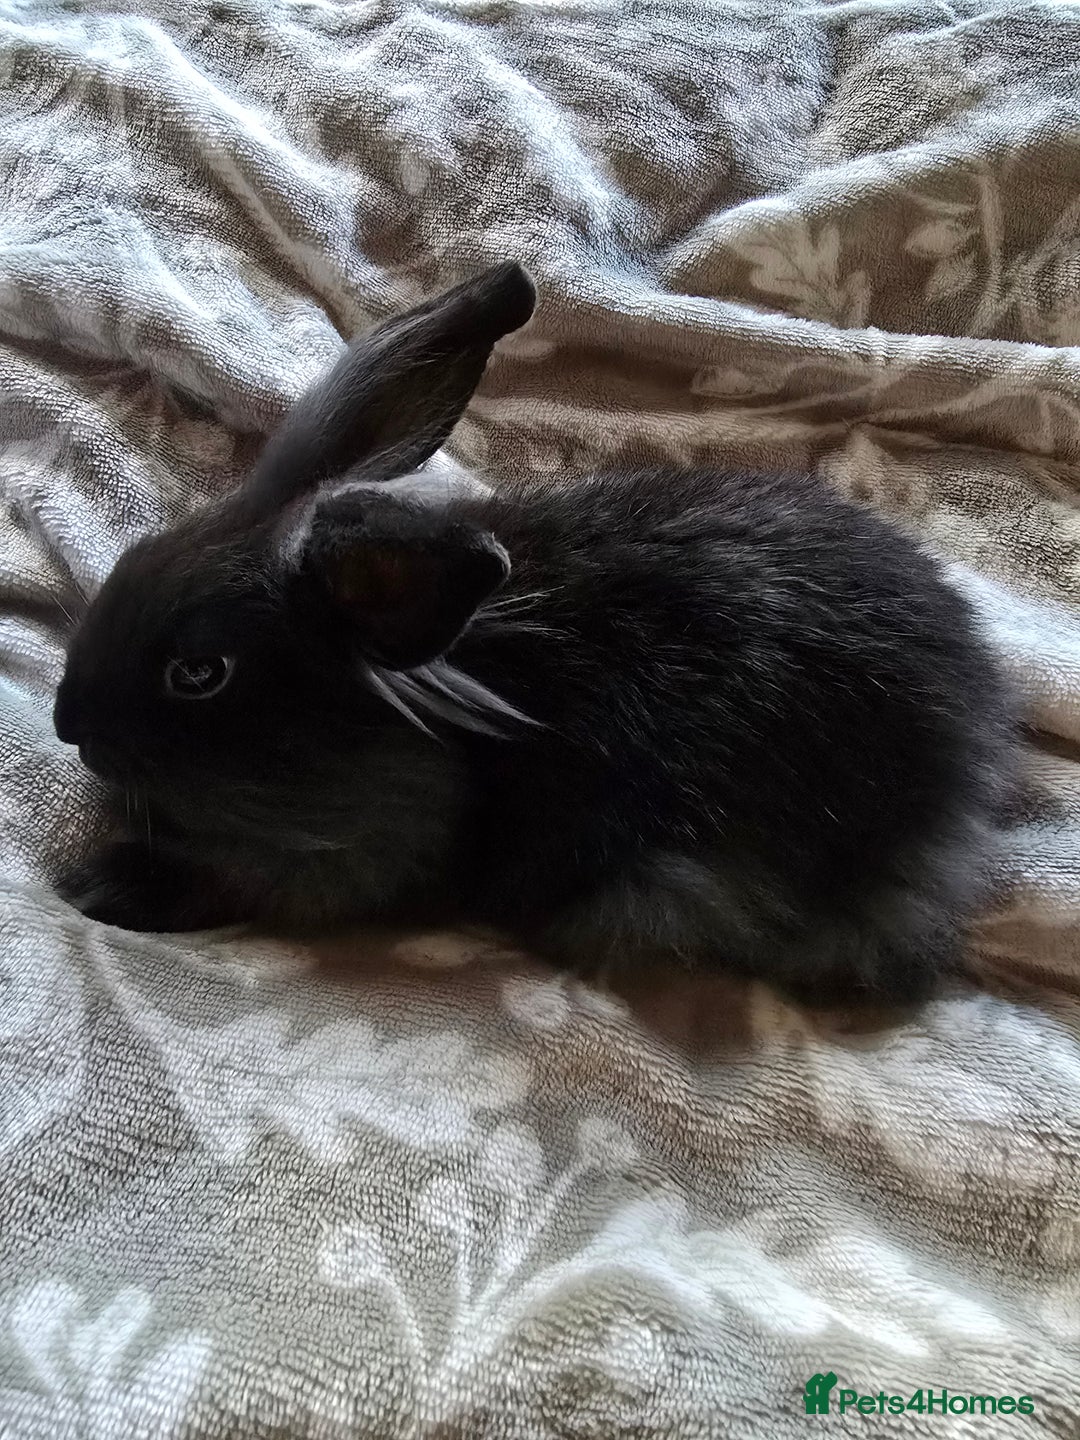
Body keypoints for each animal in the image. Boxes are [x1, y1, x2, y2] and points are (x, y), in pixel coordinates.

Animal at [53, 260, 1017, 1007]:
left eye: (199, 673)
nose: (68, 725)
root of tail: (970, 751)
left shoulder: (358, 861)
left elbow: (241, 879)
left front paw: (100, 884)